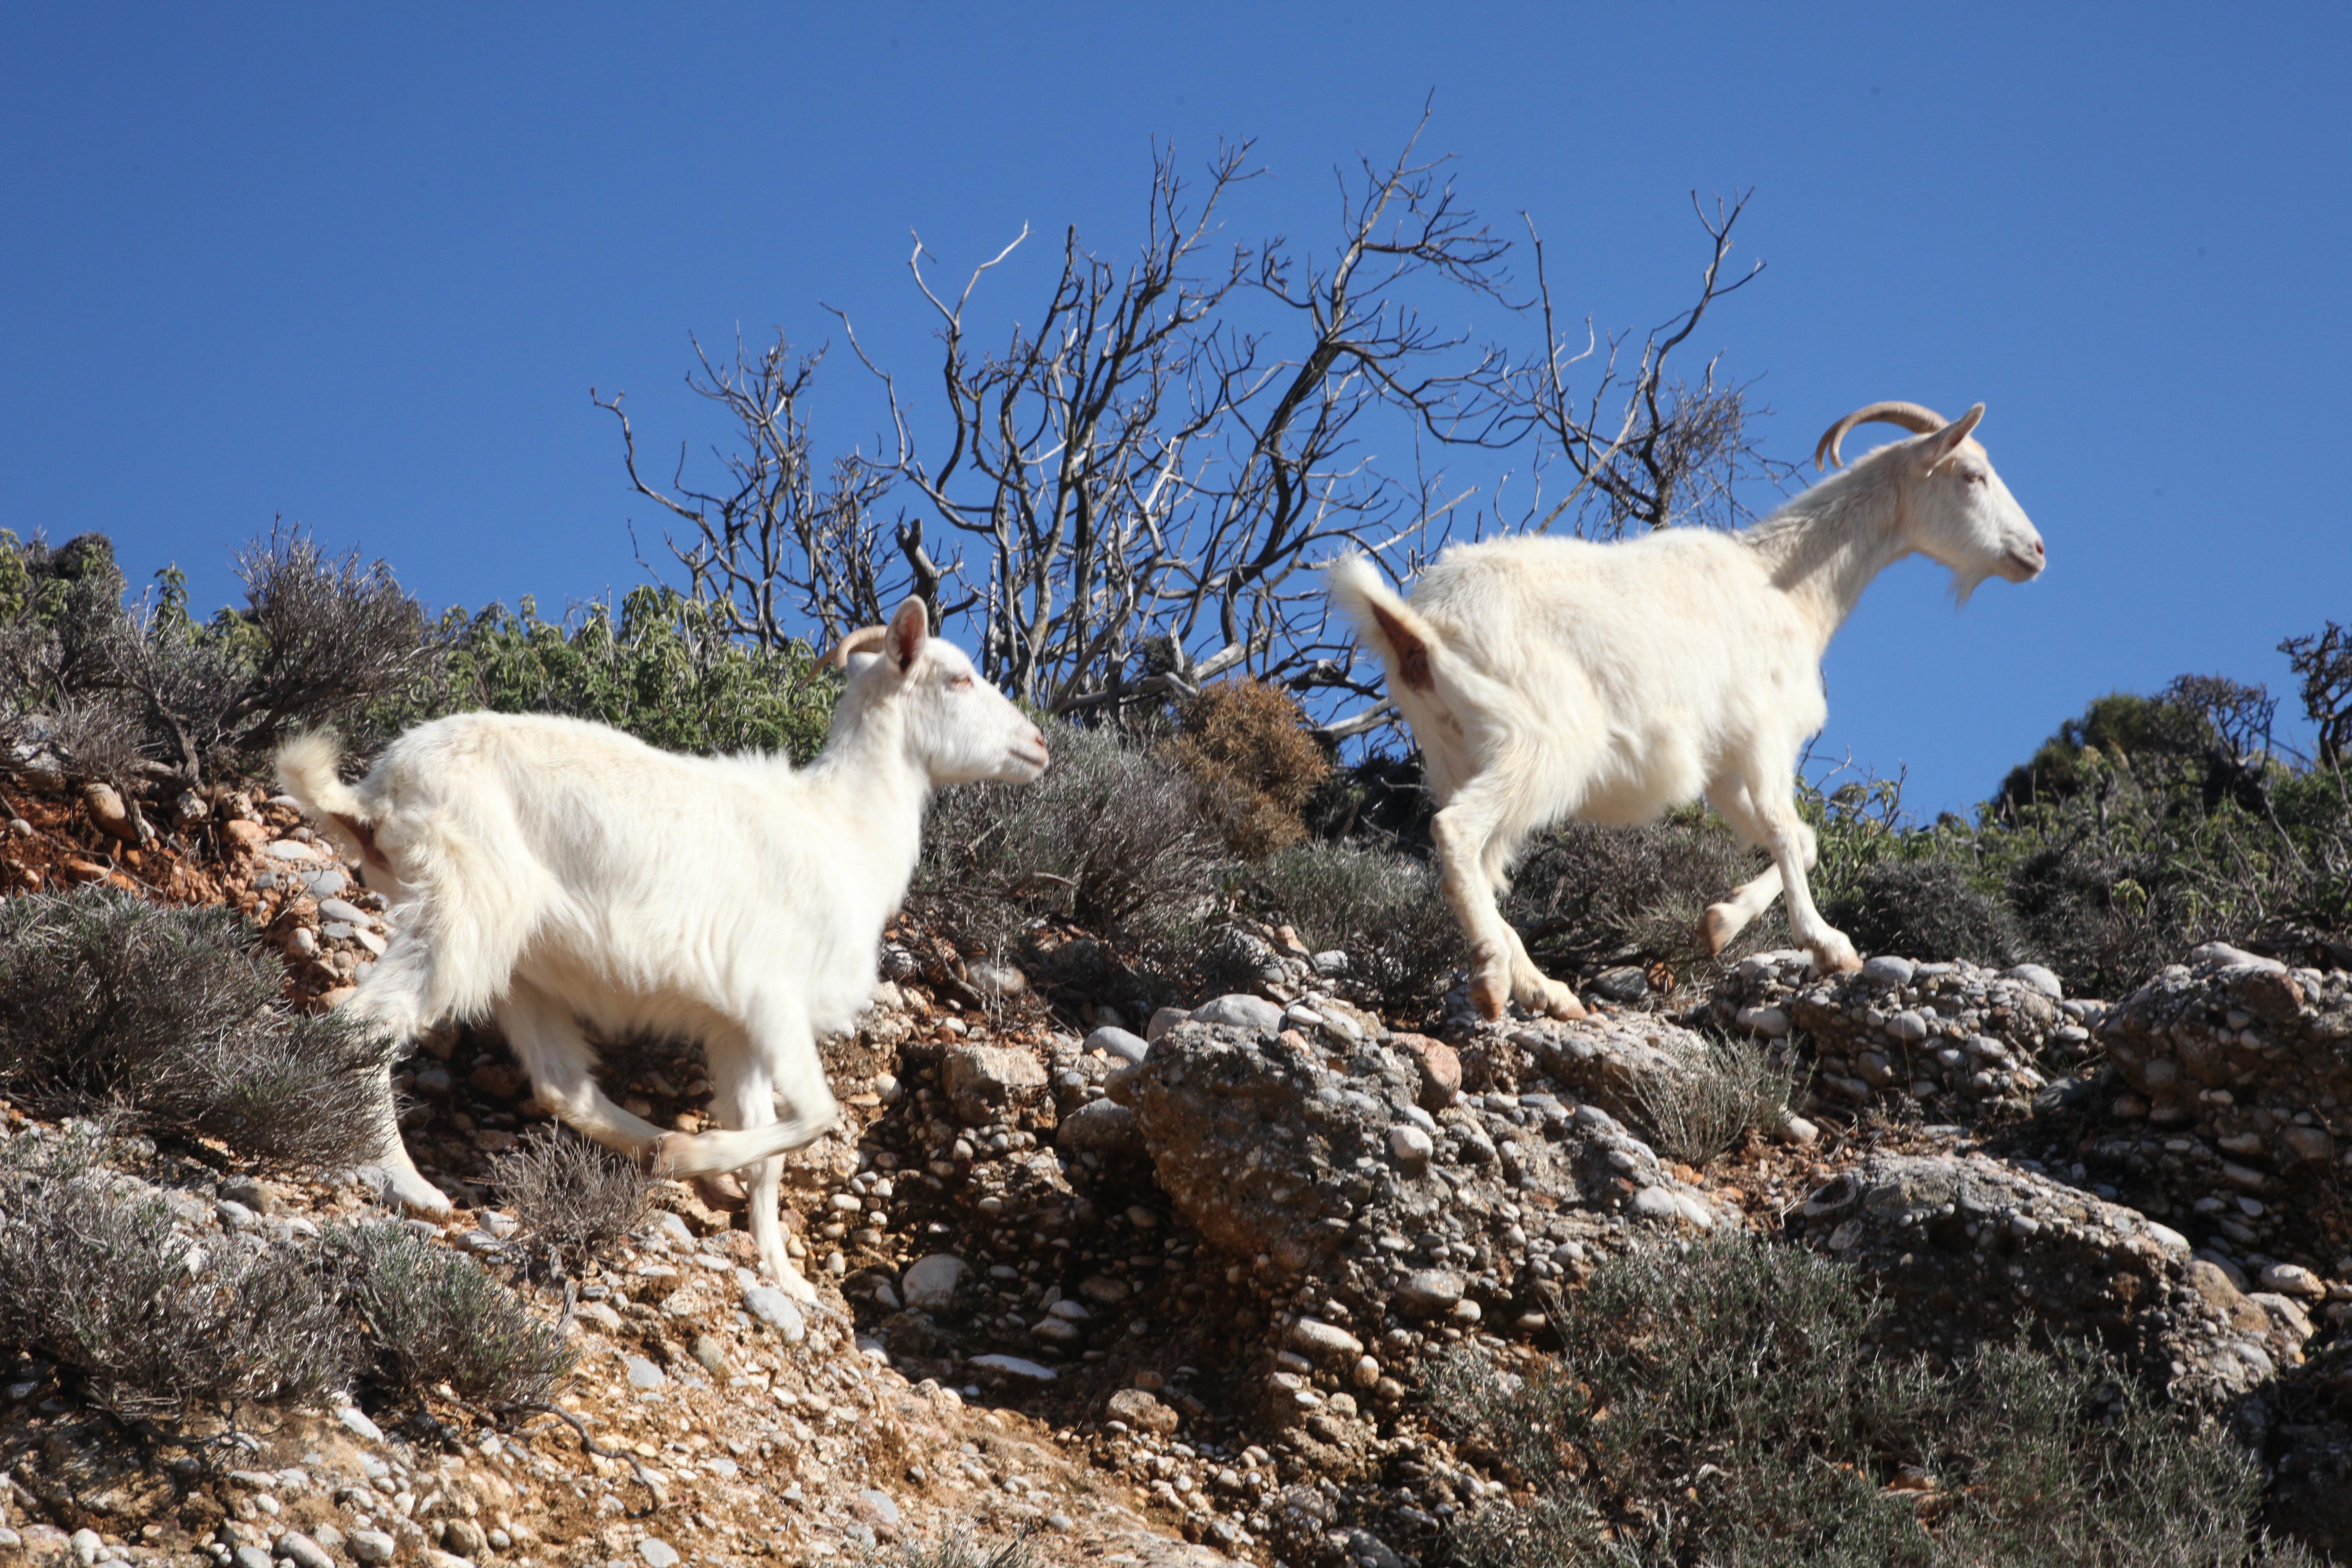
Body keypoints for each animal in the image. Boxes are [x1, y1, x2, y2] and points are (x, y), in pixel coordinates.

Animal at [275, 601, 1049, 1297]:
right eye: (958, 678)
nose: (1038, 745)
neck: (843, 830)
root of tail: (372, 796)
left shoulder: (737, 1030)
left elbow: (772, 1148)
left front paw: (782, 1273)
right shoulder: (773, 998)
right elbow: (819, 1116)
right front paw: (695, 1153)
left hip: (523, 962)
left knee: (561, 1082)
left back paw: (651, 1150)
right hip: (463, 908)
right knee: (366, 1025)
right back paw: (408, 1181)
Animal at [1336, 400, 2051, 1025]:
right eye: (1971, 474)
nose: (2037, 551)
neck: (1785, 587)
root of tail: (1414, 626)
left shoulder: (1724, 767)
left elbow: (1802, 841)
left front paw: (1720, 922)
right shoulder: (1764, 736)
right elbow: (1789, 833)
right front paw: (1828, 944)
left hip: (1456, 750)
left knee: (1484, 868)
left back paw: (1547, 992)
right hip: (1542, 743)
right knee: (1457, 833)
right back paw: (1492, 979)